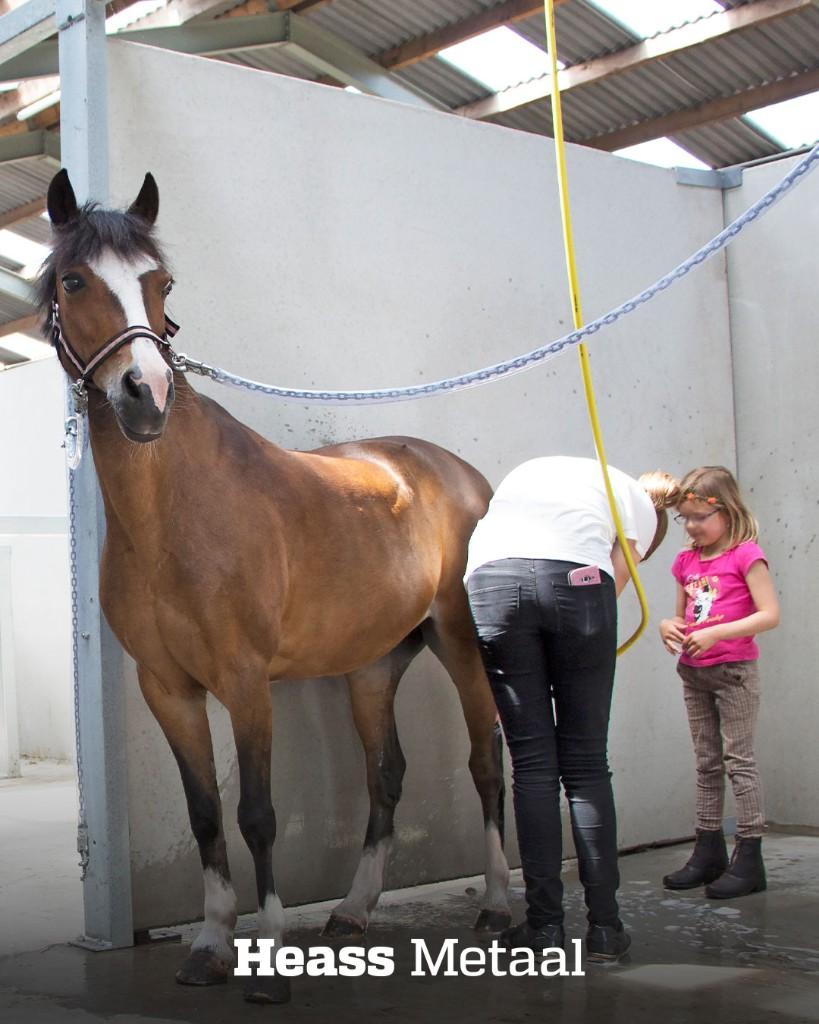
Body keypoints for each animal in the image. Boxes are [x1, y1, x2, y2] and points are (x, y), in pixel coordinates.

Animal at [40, 170, 511, 1004]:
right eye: (74, 279)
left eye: (161, 282)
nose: (145, 395)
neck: (174, 513)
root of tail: (457, 474)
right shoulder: (168, 687)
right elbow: (204, 815)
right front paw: (209, 945)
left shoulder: (245, 681)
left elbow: (256, 814)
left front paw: (266, 963)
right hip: (371, 667)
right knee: (384, 776)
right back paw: (354, 910)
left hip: (459, 643)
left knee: (485, 760)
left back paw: (495, 905)